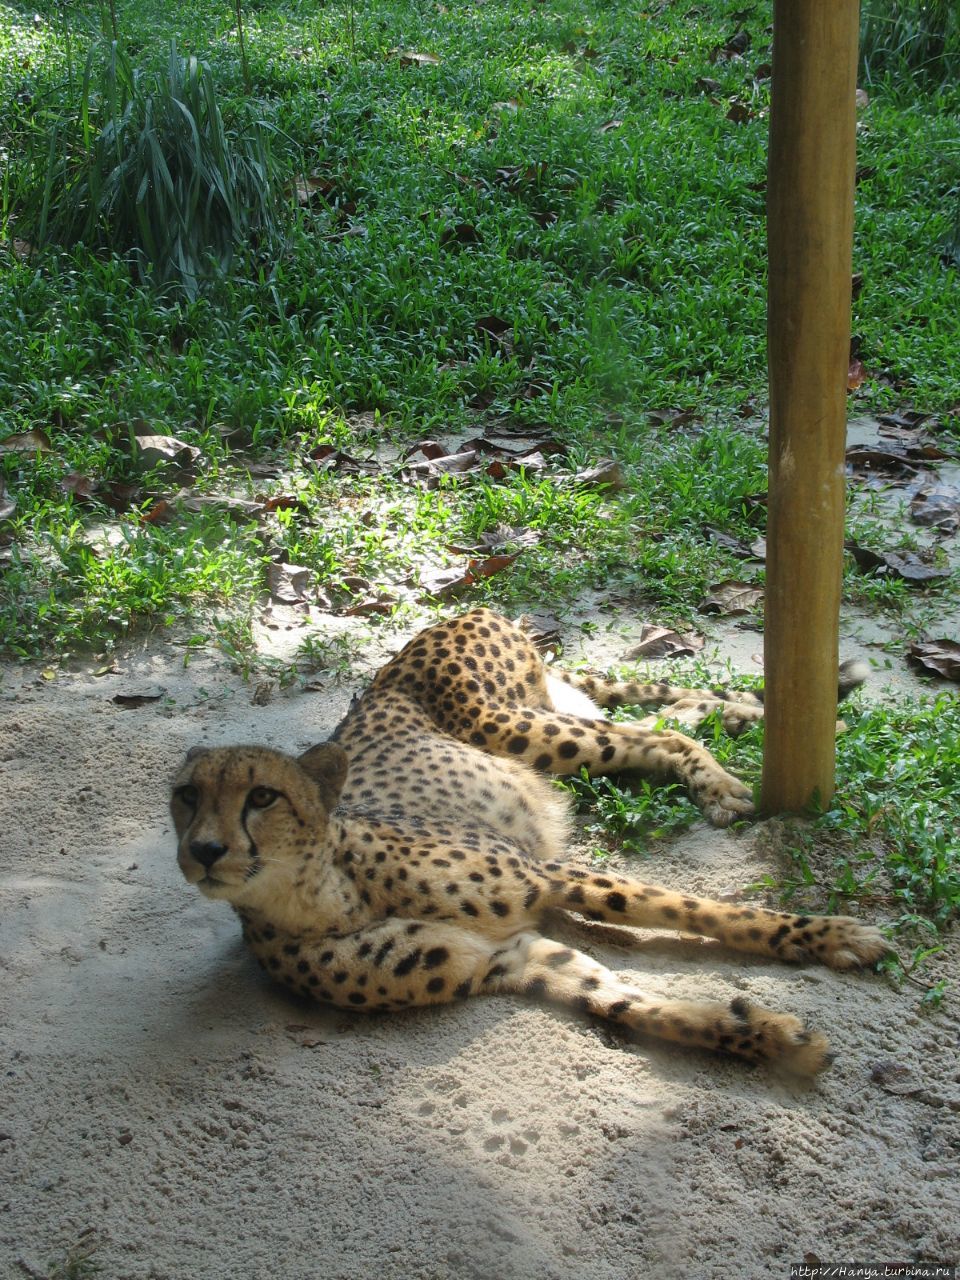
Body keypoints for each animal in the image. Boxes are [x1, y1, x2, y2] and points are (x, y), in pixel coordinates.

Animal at [172, 606, 885, 1070]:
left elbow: (703, 911)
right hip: (551, 722)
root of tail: (466, 608)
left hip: (516, 726)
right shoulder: (507, 959)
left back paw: (731, 778)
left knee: (656, 735)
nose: (204, 852)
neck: (317, 894)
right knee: (670, 719)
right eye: (185, 797)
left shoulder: (550, 876)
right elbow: (629, 1005)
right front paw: (765, 1037)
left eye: (262, 796)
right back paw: (746, 719)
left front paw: (829, 937)